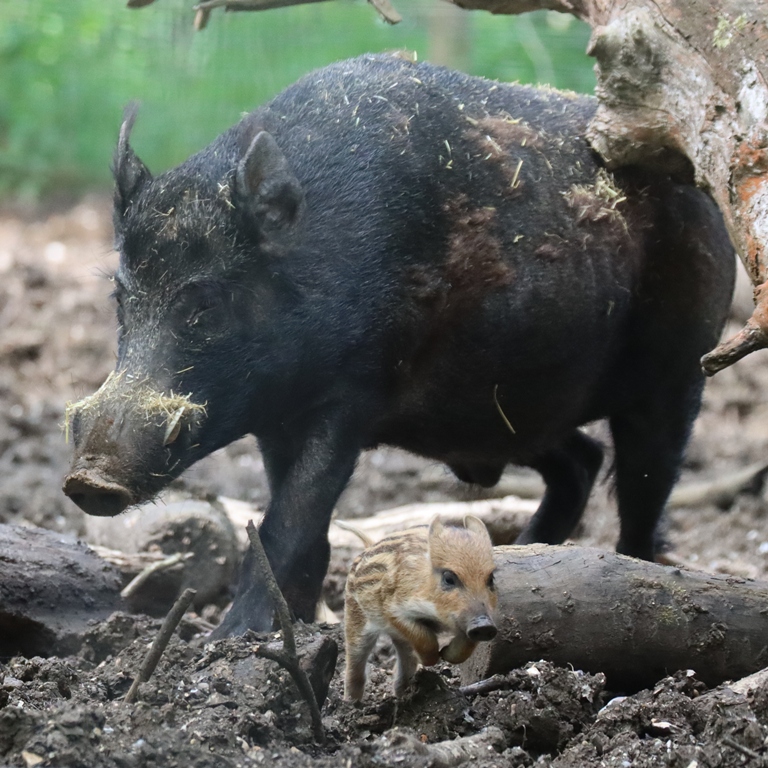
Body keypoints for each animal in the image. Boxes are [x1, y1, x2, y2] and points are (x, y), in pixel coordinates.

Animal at [63, 53, 735, 638]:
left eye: (203, 307)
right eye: (121, 301)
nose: (90, 479)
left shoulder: (353, 393)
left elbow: (289, 522)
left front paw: (230, 641)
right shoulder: (279, 421)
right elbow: (302, 524)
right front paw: (293, 628)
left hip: (679, 372)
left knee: (643, 492)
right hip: (505, 413)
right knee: (582, 461)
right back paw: (519, 558)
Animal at [343, 515, 497, 700]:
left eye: (491, 578)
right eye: (448, 578)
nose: (484, 625)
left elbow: (463, 650)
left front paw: (445, 653)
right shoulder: (392, 609)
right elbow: (425, 640)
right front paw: (433, 658)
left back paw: (403, 695)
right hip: (355, 617)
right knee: (355, 663)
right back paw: (351, 703)